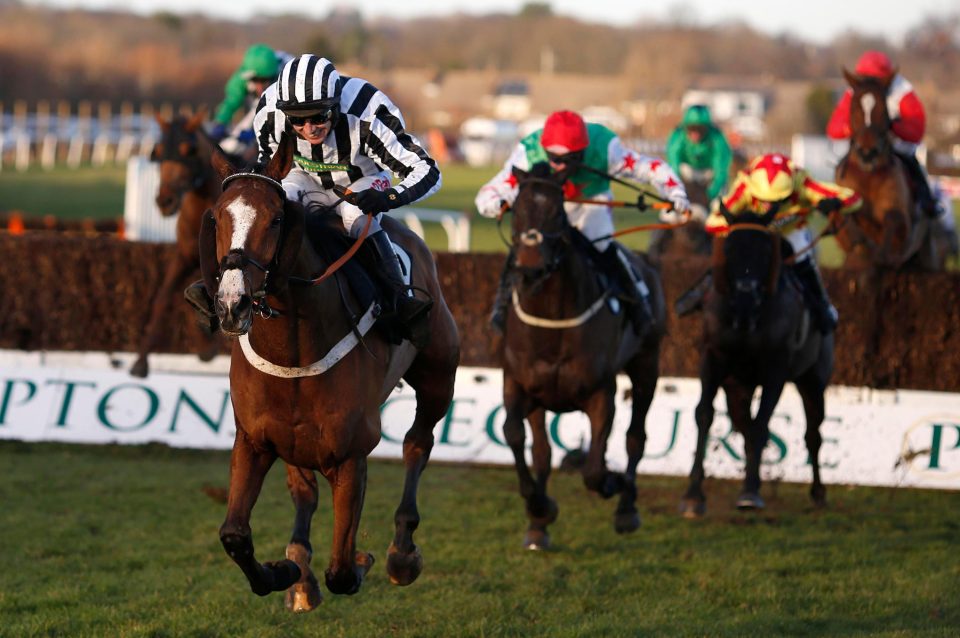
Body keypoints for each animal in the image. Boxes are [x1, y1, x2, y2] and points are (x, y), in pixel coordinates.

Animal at [130, 112, 222, 378]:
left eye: (188, 150)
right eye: (158, 151)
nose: (165, 200)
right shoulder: (184, 256)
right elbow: (164, 298)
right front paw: (140, 362)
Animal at [203, 134, 462, 608]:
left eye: (275, 219)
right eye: (217, 219)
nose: (232, 305)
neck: (294, 352)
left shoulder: (350, 456)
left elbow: (342, 569)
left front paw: (361, 561)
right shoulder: (255, 440)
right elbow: (234, 535)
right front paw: (286, 570)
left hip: (438, 378)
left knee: (417, 444)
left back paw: (402, 553)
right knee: (304, 490)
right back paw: (301, 570)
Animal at [498, 164, 664, 552]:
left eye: (557, 212)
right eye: (517, 209)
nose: (530, 268)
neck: (553, 323)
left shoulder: (601, 393)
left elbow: (594, 469)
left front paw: (612, 482)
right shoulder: (520, 385)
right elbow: (519, 439)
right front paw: (539, 512)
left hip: (647, 364)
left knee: (636, 437)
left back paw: (626, 508)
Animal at [684, 210, 832, 520]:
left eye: (765, 253)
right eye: (729, 249)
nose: (744, 302)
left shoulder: (776, 367)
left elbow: (763, 425)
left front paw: (750, 493)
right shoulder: (712, 358)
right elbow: (704, 414)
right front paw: (693, 496)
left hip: (813, 380)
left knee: (813, 433)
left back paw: (818, 492)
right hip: (737, 386)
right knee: (744, 424)